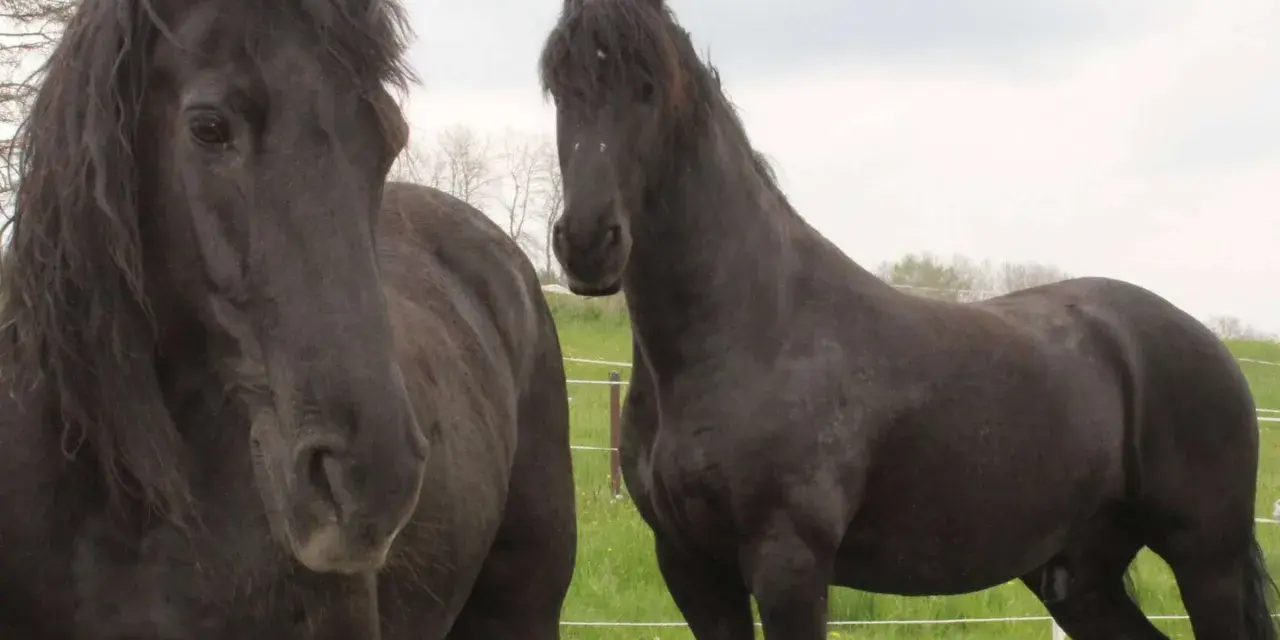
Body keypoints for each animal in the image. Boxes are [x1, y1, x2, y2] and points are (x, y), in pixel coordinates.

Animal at [538, 0, 1276, 637]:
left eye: (647, 86)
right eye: (560, 86)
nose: (587, 242)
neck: (747, 330)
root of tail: (1206, 343)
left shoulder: (788, 564)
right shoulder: (690, 566)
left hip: (1204, 559)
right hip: (1080, 577)